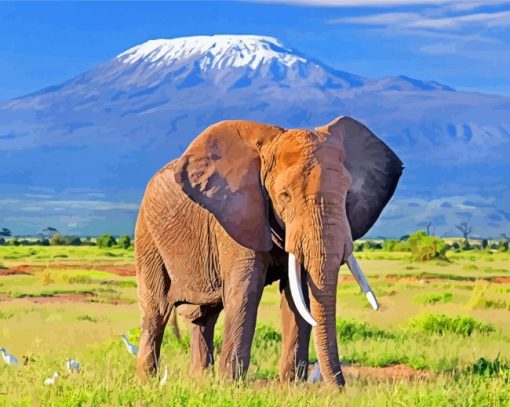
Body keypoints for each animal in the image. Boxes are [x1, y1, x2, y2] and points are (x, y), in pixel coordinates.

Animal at [134, 115, 402, 388]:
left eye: (347, 193)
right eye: (284, 195)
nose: (340, 389)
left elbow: (298, 294)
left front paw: (292, 387)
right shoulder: (236, 216)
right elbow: (246, 291)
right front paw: (231, 387)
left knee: (204, 316)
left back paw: (200, 381)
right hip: (147, 234)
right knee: (156, 310)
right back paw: (147, 381)